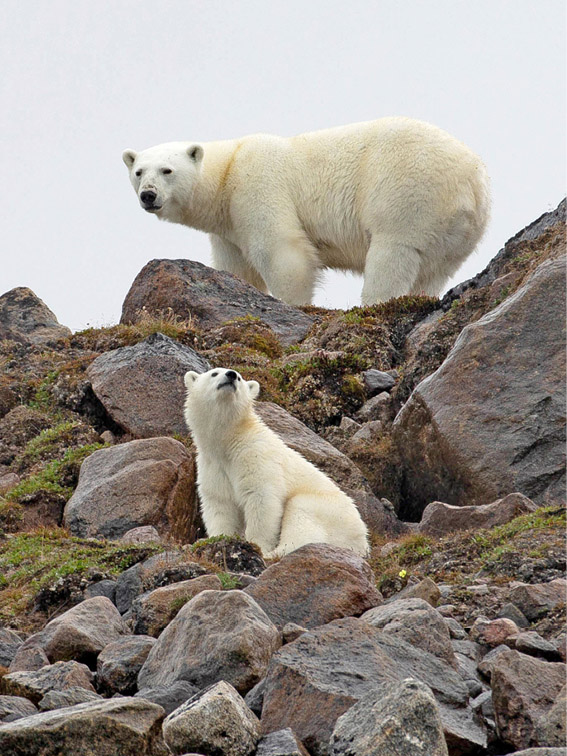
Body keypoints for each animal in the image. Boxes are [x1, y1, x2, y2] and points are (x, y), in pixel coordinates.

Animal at [123, 117, 490, 306]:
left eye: (167, 170)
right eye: (139, 171)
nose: (148, 196)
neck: (227, 172)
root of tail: (472, 179)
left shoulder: (258, 187)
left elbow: (282, 252)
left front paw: (294, 306)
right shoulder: (227, 227)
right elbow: (238, 269)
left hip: (405, 189)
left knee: (392, 254)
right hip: (452, 230)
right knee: (432, 271)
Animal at [183, 367, 369, 558]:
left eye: (240, 378)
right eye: (214, 373)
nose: (231, 375)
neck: (228, 442)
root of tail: (363, 540)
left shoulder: (256, 456)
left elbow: (262, 499)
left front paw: (257, 546)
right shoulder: (213, 466)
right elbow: (220, 504)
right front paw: (217, 539)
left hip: (330, 512)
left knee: (301, 518)